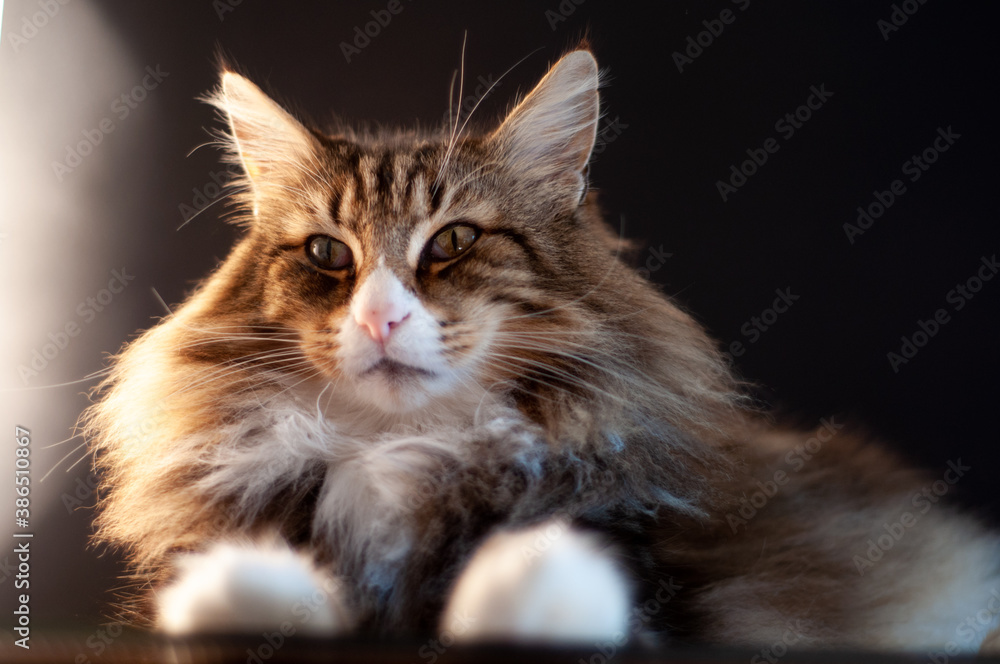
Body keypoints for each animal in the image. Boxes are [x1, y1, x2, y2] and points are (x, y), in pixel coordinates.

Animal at [84, 49, 1000, 652]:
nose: (381, 319)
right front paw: (240, 586)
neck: (406, 453)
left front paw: (525, 577)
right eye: (327, 255)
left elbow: (598, 593)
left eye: (453, 241)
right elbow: (283, 597)